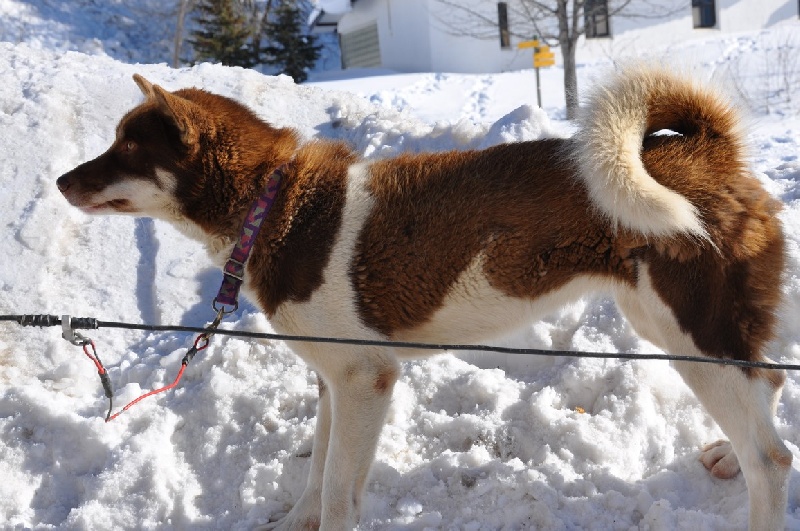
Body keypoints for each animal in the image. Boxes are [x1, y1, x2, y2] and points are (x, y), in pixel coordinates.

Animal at [57, 67, 792, 531]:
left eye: (127, 145)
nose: (62, 181)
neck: (276, 204)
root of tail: (709, 152)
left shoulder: (366, 379)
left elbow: (339, 494)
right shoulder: (334, 380)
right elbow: (317, 475)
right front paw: (295, 520)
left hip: (687, 332)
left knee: (773, 457)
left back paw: (751, 469)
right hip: (696, 331)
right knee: (771, 385)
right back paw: (728, 453)